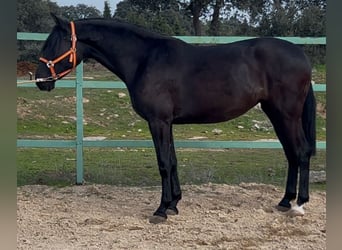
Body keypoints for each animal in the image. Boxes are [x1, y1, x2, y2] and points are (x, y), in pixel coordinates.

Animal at [34, 14, 316, 223]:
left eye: (53, 42)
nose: (39, 80)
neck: (144, 59)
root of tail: (302, 55)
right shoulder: (166, 123)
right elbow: (173, 161)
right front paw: (173, 204)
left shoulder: (157, 121)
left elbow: (163, 163)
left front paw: (160, 210)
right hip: (275, 114)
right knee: (291, 154)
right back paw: (285, 201)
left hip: (287, 114)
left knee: (301, 152)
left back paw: (299, 205)